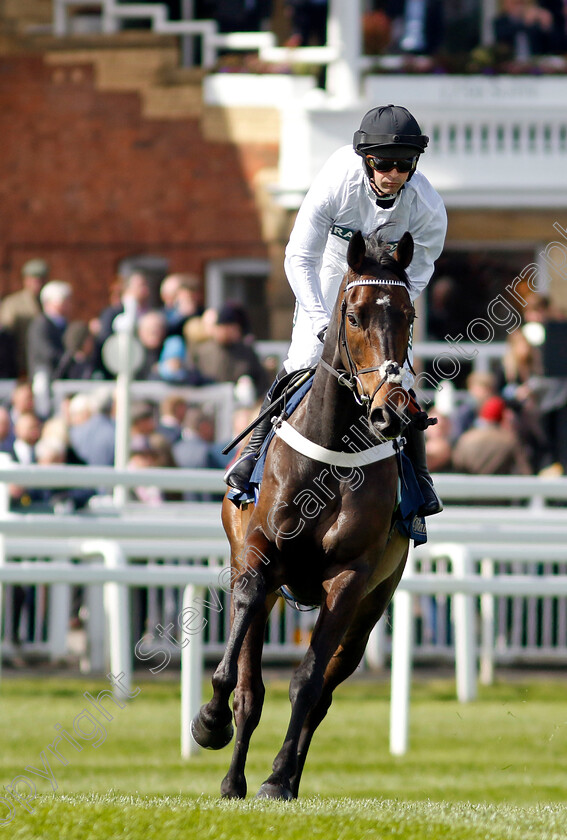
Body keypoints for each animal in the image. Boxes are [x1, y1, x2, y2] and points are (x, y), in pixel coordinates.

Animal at [193, 228, 414, 800]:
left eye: (409, 314)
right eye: (353, 314)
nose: (390, 410)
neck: (332, 450)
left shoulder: (352, 577)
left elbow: (308, 682)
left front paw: (276, 778)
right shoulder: (257, 554)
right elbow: (244, 666)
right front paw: (210, 721)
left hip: (373, 602)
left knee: (325, 691)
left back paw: (287, 777)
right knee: (252, 687)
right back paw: (234, 777)